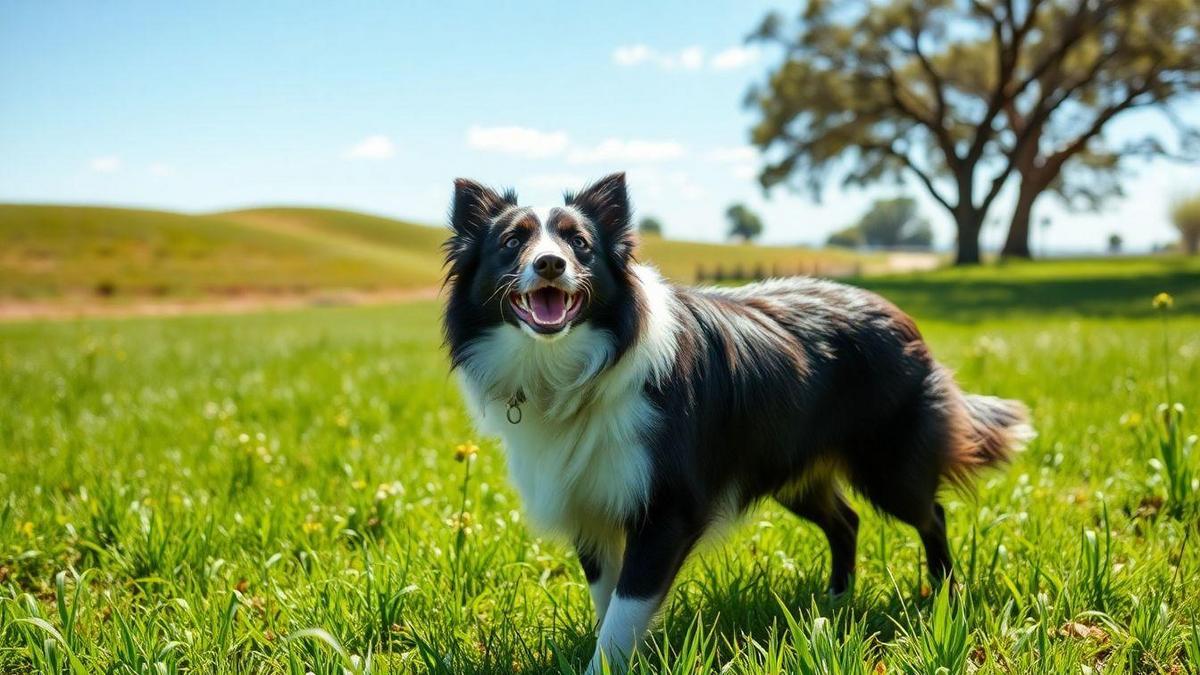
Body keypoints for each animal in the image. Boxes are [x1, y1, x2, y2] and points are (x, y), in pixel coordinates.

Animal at [441, 171, 1032, 667]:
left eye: (579, 243)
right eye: (512, 243)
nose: (550, 264)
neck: (573, 370)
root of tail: (898, 314)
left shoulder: (669, 508)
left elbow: (625, 609)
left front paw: (607, 664)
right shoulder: (588, 501)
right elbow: (609, 602)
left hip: (888, 466)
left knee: (932, 514)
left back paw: (945, 598)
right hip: (793, 469)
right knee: (846, 521)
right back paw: (835, 603)